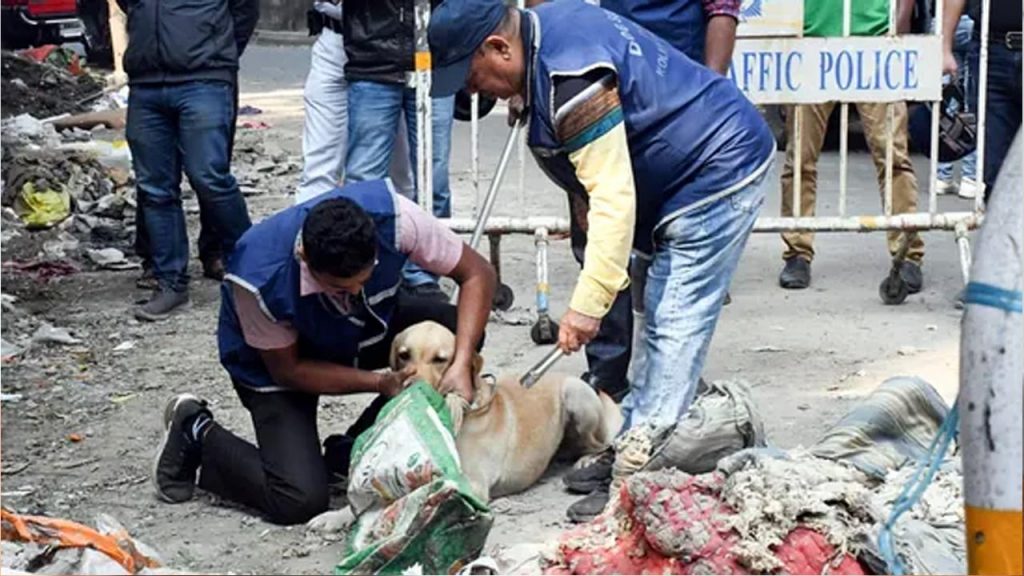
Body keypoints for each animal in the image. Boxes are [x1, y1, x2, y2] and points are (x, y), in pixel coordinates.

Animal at [387, 319, 618, 500]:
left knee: (602, 444)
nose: (408, 387)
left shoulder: (474, 484)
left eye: (440, 359)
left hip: (575, 394)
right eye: (404, 355)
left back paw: (588, 460)